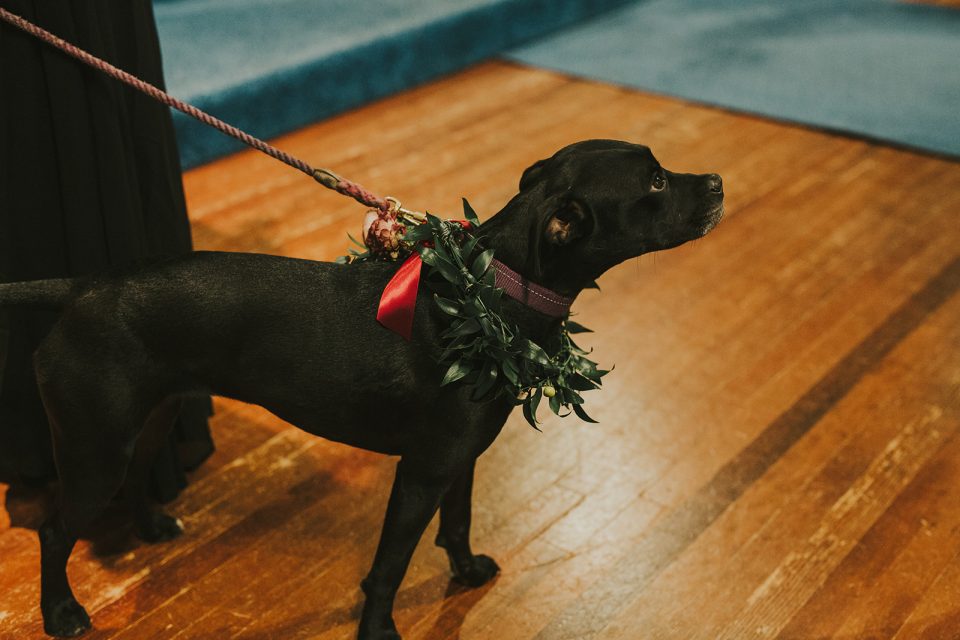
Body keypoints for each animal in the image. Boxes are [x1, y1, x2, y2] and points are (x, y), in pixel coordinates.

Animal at [0, 139, 723, 638]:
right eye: (656, 180)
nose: (717, 181)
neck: (492, 293)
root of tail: (85, 286)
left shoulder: (460, 462)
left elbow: (457, 527)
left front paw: (464, 575)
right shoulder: (422, 473)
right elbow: (390, 566)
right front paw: (378, 630)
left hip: (146, 421)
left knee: (135, 481)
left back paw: (151, 526)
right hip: (96, 446)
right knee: (55, 532)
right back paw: (61, 612)